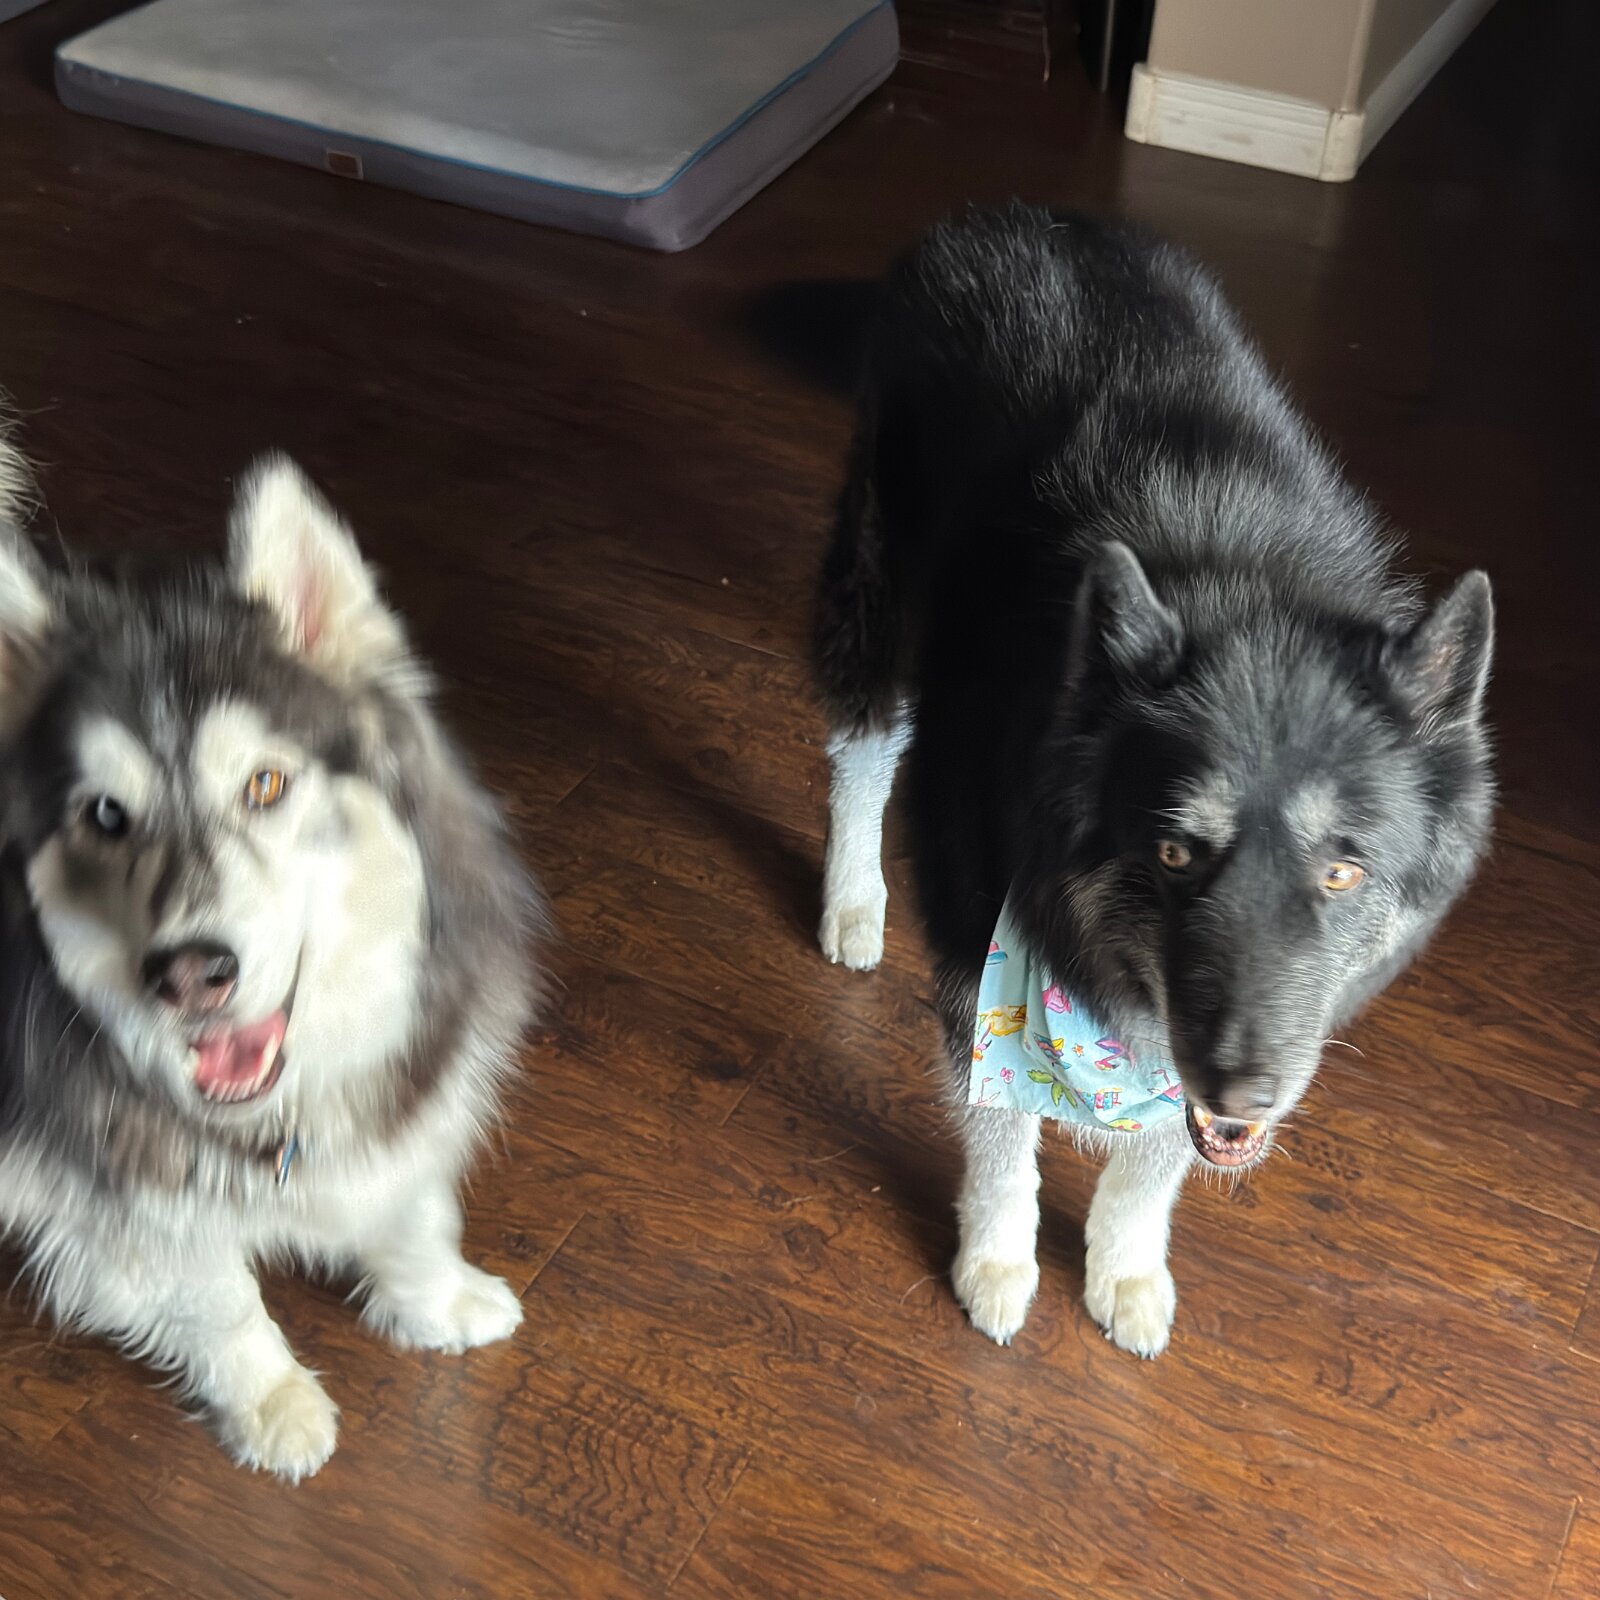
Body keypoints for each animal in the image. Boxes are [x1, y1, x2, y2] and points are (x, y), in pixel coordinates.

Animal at [0, 439, 542, 1479]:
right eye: (105, 814)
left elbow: (412, 1205)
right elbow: (217, 1297)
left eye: (264, 784)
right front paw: (272, 1404)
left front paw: (435, 1298)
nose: (186, 976)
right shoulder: (112, 1191)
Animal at [813, 205, 1494, 1354]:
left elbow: (1153, 1157)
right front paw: (996, 1262)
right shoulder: (978, 942)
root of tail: (1004, 215)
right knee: (863, 751)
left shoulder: (1187, 1053)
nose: (1250, 1088)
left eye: (1343, 874)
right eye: (1173, 853)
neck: (1239, 580)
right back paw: (852, 900)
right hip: (882, 594)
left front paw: (1124, 1269)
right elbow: (1001, 1133)